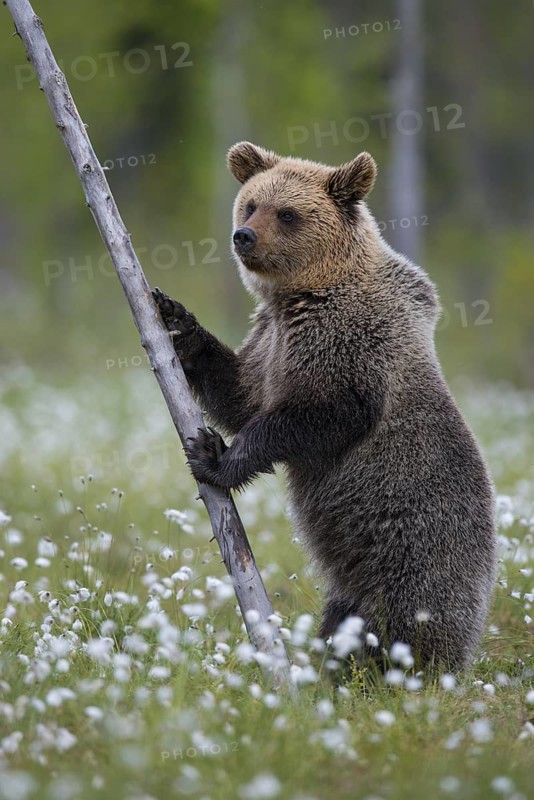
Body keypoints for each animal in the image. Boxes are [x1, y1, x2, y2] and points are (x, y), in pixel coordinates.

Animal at [152, 141, 497, 672]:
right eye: (251, 204)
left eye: (287, 213)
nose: (243, 235)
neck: (305, 291)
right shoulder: (272, 342)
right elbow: (240, 392)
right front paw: (176, 319)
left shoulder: (349, 345)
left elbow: (317, 416)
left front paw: (214, 456)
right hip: (354, 584)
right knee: (343, 619)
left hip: (414, 554)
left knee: (400, 624)